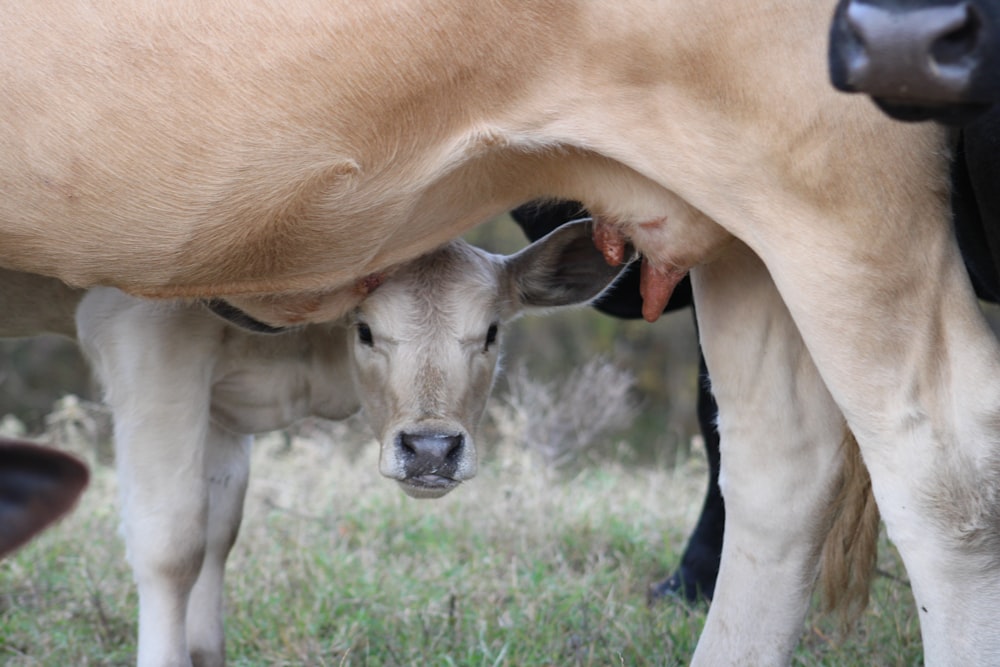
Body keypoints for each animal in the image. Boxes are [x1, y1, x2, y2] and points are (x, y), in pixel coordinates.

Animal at [1, 1, 992, 667]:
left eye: (490, 333)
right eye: (367, 331)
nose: (432, 448)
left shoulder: (140, 314)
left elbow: (170, 538)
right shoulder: (182, 353)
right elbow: (210, 530)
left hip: (835, 192)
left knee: (942, 477)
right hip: (729, 227)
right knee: (779, 471)